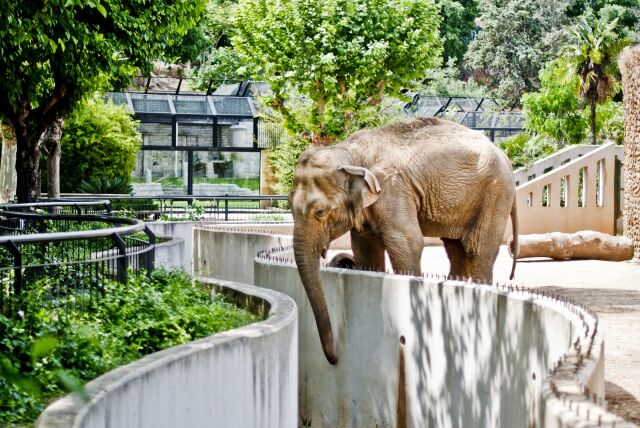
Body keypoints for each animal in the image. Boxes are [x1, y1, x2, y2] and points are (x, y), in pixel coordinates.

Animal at [288, 116, 516, 364]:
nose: (335, 358)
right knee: (455, 248)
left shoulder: (392, 189)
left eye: (320, 212)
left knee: (477, 250)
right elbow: (365, 248)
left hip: (495, 194)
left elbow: (408, 242)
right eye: (289, 205)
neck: (349, 154)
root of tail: (504, 155)